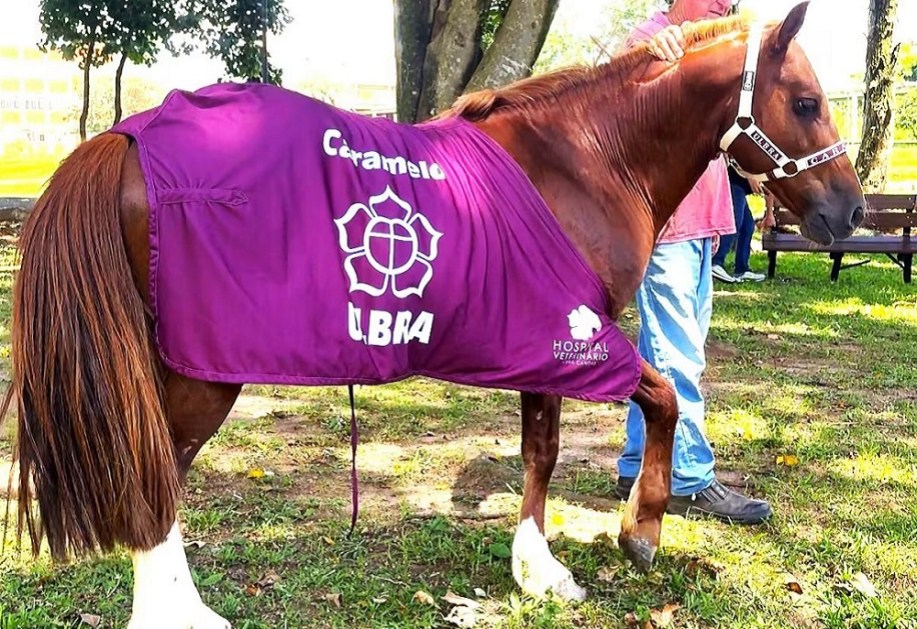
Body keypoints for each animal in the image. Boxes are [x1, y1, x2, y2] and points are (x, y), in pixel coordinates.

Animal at [4, 4, 863, 626]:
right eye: (805, 102)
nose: (849, 212)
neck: (587, 154)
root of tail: (125, 137)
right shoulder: (572, 335)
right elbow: (658, 400)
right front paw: (634, 534)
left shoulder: (540, 342)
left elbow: (541, 448)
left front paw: (533, 563)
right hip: (203, 367)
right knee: (159, 475)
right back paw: (179, 612)